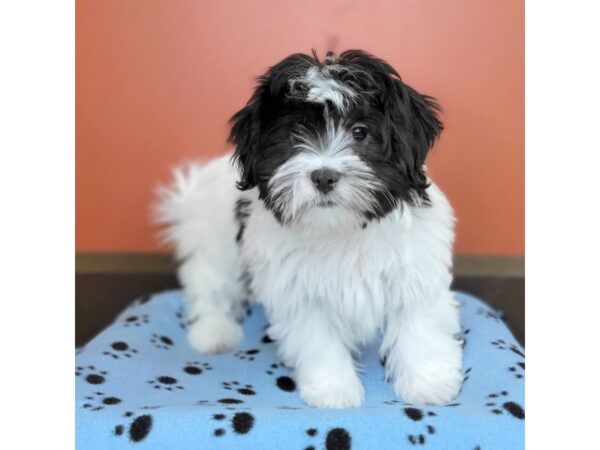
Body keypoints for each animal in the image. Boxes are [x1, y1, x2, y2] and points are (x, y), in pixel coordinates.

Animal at [157, 49, 462, 408]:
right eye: (295, 135)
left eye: (360, 132)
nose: (324, 176)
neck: (341, 229)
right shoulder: (299, 292)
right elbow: (318, 338)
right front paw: (334, 390)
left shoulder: (415, 269)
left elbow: (420, 326)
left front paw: (428, 384)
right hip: (215, 242)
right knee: (211, 288)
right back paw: (214, 332)